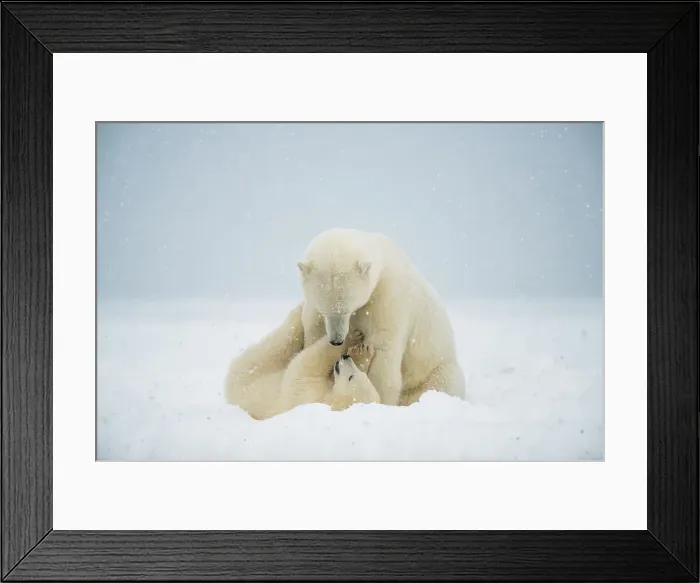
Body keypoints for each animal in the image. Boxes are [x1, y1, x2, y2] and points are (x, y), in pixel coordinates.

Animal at [224, 304, 380, 420]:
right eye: (359, 375)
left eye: (351, 377)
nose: (345, 358)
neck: (326, 401)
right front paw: (361, 350)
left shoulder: (307, 394)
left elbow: (307, 364)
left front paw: (351, 337)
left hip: (248, 373)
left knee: (276, 347)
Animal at [296, 227, 466, 407]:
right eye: (324, 310)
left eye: (346, 310)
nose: (336, 340)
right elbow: (315, 333)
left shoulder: (387, 298)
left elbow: (383, 350)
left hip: (437, 370)